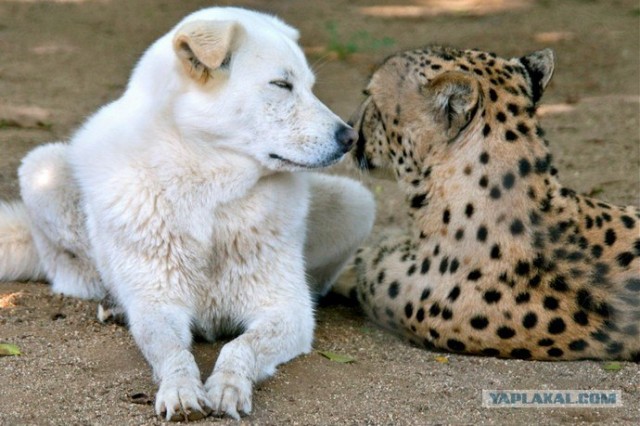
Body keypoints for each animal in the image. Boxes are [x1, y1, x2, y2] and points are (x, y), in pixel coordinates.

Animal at [0, 8, 376, 422]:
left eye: (309, 86)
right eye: (281, 84)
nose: (351, 138)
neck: (210, 193)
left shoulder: (288, 311)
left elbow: (239, 346)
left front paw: (227, 386)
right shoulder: (159, 306)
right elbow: (172, 351)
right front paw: (180, 391)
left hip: (358, 203)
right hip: (41, 168)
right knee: (74, 274)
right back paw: (114, 304)